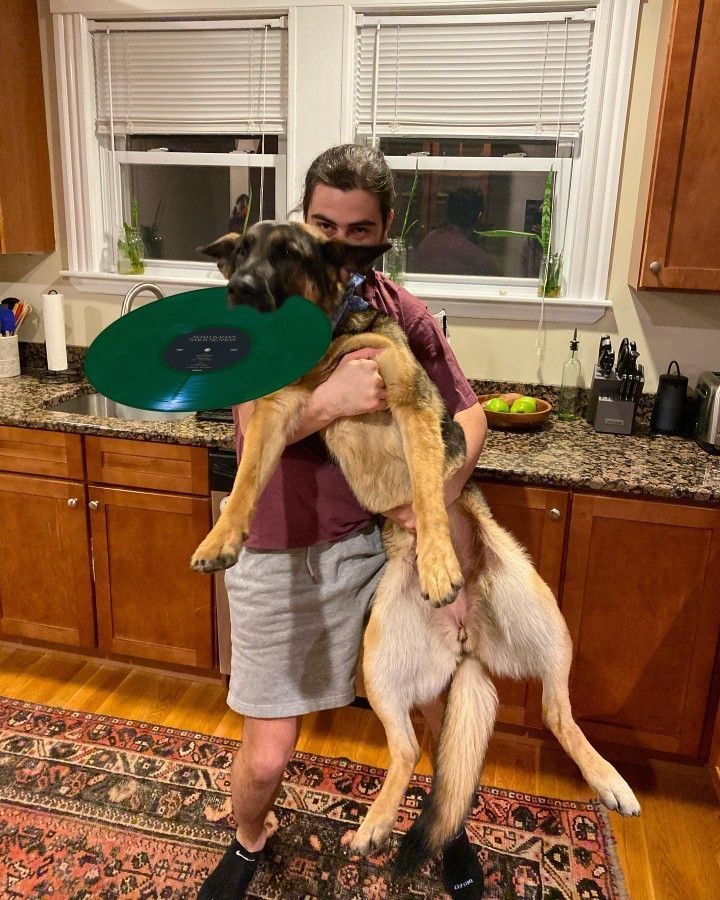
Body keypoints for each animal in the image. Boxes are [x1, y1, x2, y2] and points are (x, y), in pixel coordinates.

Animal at [193, 223, 640, 880]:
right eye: (243, 250)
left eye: (289, 254)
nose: (240, 290)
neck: (328, 341)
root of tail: (469, 638)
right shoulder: (276, 414)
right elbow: (248, 477)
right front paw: (221, 536)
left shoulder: (409, 402)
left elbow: (428, 493)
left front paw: (437, 560)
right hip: (379, 663)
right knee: (408, 748)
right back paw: (375, 824)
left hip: (549, 625)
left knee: (557, 712)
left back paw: (609, 781)